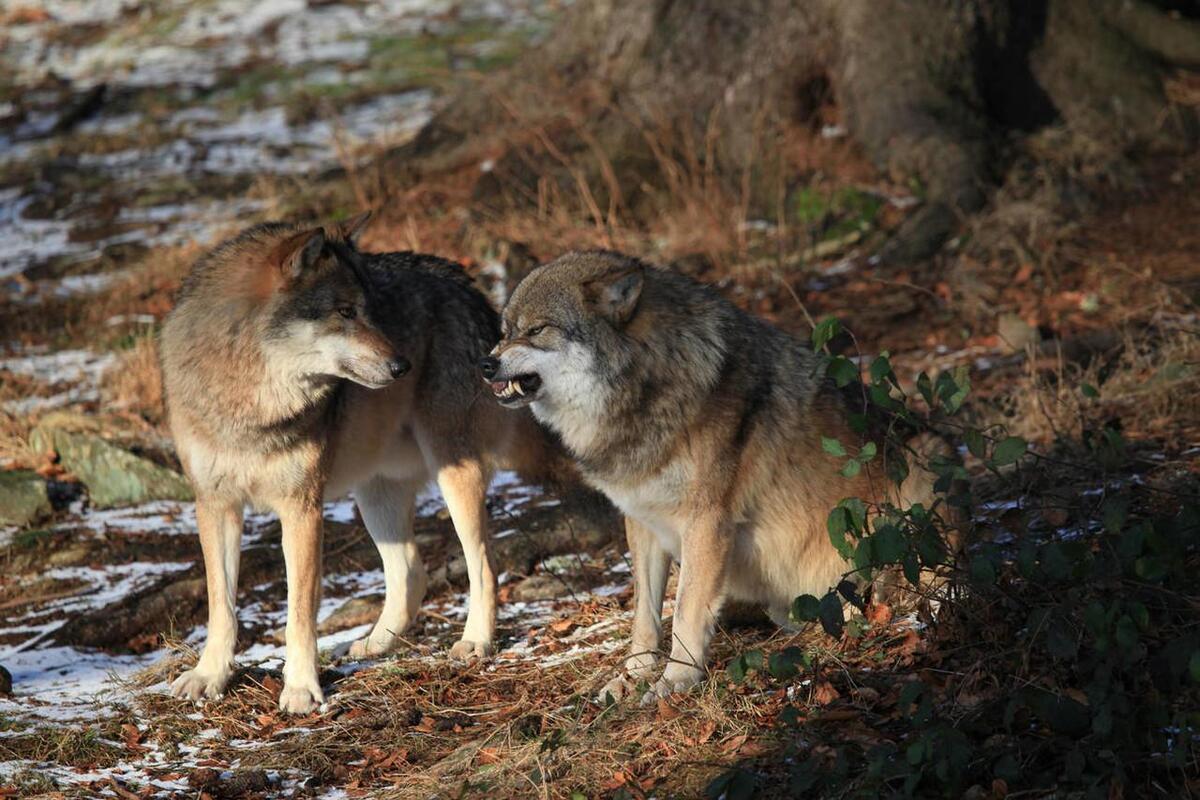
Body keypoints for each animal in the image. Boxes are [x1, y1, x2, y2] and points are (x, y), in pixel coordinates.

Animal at [162, 212, 549, 714]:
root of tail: (471, 288)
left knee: (483, 564)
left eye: (369, 309)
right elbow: (221, 606)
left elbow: (300, 612)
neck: (250, 404)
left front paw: (301, 688)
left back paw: (476, 642)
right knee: (411, 570)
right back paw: (376, 644)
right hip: (374, 494)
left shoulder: (301, 507)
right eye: (345, 312)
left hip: (452, 472)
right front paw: (210, 676)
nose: (402, 365)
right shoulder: (214, 503)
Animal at [477, 250, 945, 700]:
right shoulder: (641, 523)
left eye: (536, 330)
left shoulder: (706, 522)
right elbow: (645, 615)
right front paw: (632, 676)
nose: (484, 364)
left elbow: (684, 610)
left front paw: (675, 682)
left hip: (921, 465)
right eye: (504, 331)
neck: (647, 387)